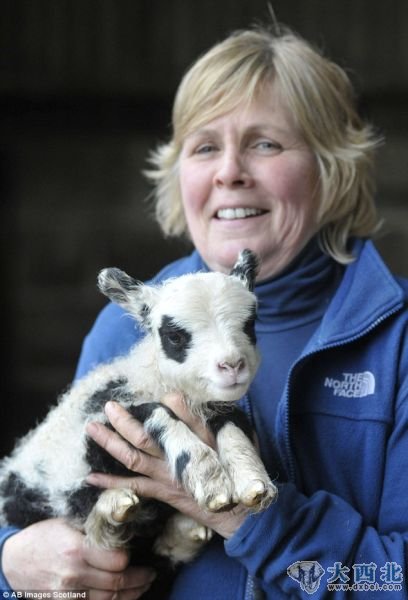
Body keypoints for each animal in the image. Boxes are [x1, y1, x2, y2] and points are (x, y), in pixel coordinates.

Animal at [0, 247, 278, 564]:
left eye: (250, 325)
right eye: (174, 336)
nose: (232, 365)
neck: (155, 379)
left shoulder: (217, 406)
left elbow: (233, 426)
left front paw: (252, 481)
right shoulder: (104, 419)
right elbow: (156, 412)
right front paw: (209, 479)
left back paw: (184, 532)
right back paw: (114, 510)